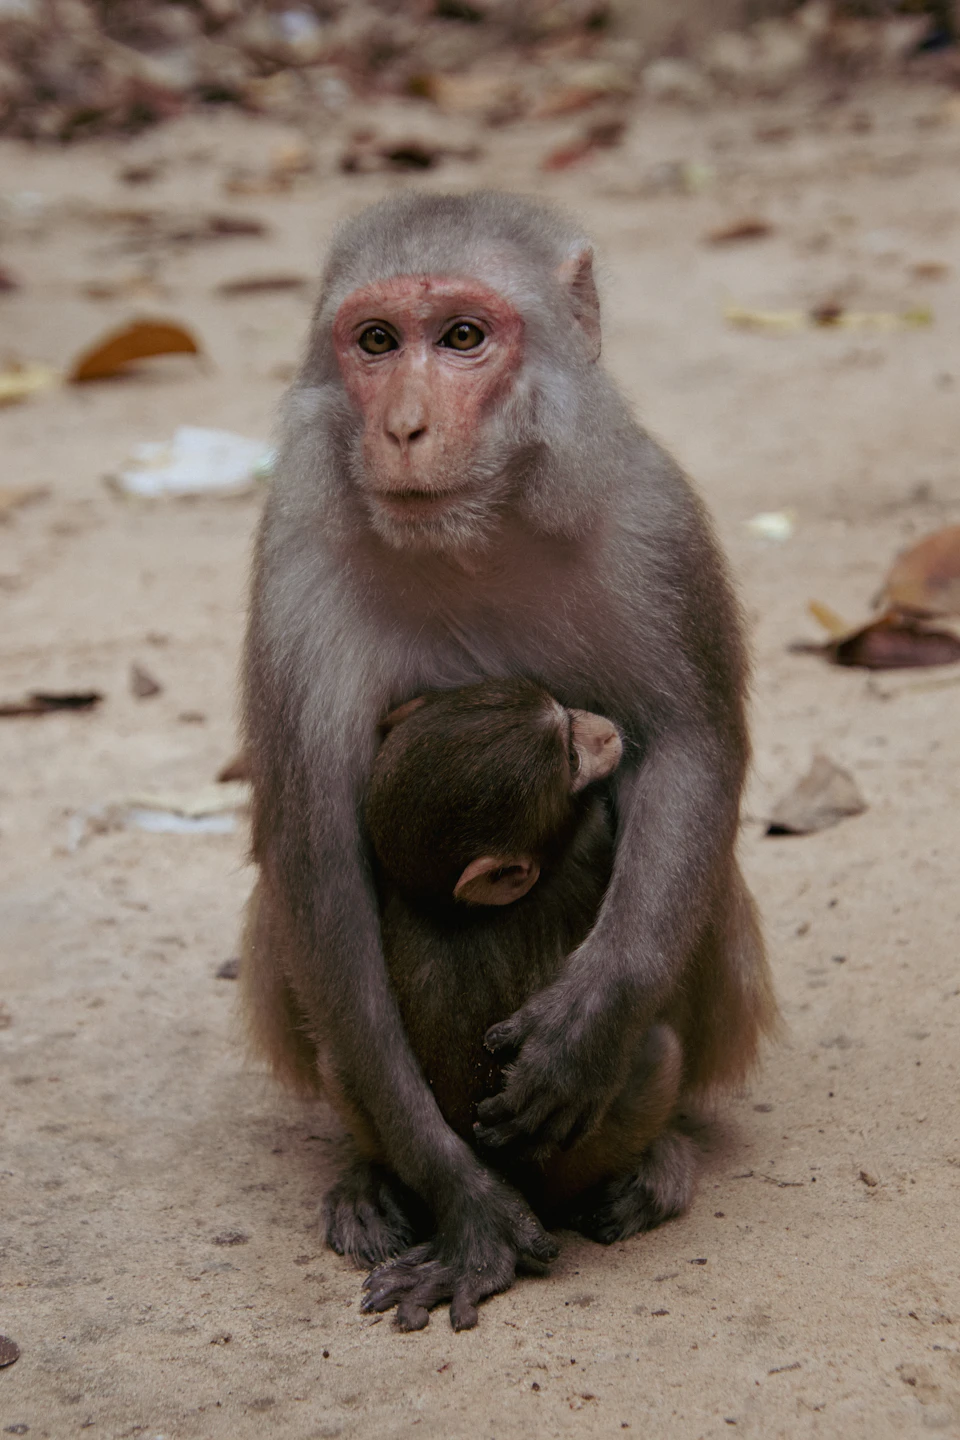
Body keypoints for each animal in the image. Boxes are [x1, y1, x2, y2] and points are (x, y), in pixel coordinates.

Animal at [241, 190, 778, 1332]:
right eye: (376, 343)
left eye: (462, 339)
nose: (404, 426)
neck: (472, 532)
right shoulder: (296, 568)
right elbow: (317, 864)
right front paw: (463, 1197)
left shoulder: (652, 514)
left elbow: (692, 746)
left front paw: (593, 1020)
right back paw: (376, 1179)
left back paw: (658, 1158)